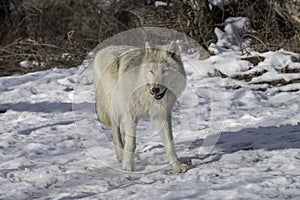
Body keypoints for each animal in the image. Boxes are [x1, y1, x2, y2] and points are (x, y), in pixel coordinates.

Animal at [94, 41, 188, 173]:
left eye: (165, 71)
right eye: (151, 71)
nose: (155, 89)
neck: (146, 95)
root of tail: (103, 50)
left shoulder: (162, 115)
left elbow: (169, 142)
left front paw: (176, 166)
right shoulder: (131, 115)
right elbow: (131, 144)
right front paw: (128, 167)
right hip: (115, 110)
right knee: (117, 135)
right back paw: (121, 156)